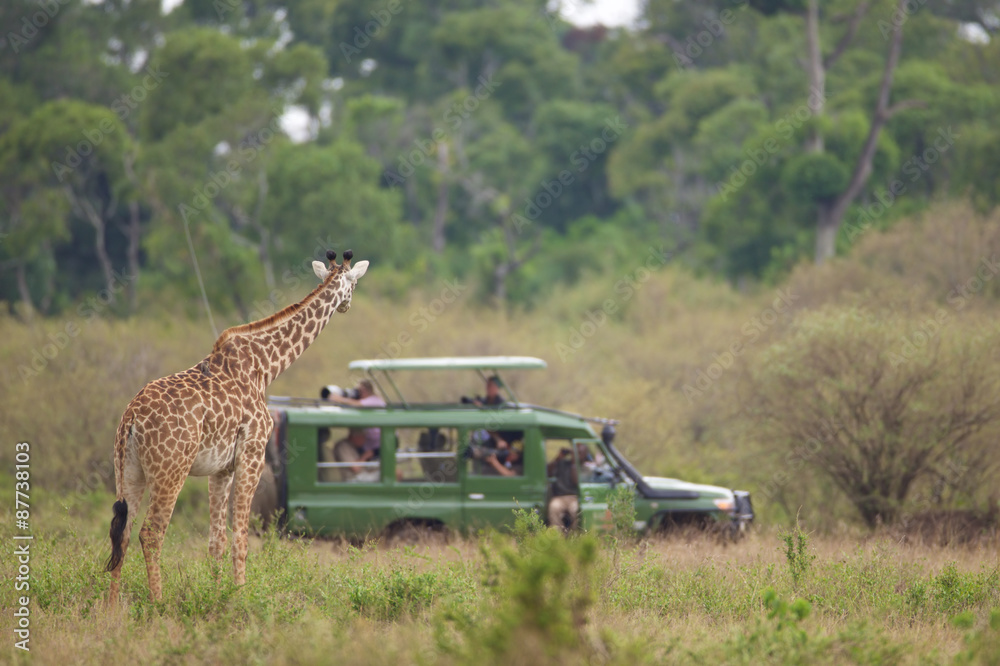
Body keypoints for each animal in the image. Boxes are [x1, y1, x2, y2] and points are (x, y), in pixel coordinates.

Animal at [105, 249, 369, 604]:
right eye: (353, 283)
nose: (346, 306)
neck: (264, 367)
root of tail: (131, 418)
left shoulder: (221, 468)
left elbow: (216, 541)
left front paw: (220, 597)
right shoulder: (252, 453)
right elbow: (241, 538)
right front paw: (242, 596)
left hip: (128, 470)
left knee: (122, 532)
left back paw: (111, 608)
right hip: (170, 470)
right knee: (151, 532)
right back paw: (158, 603)